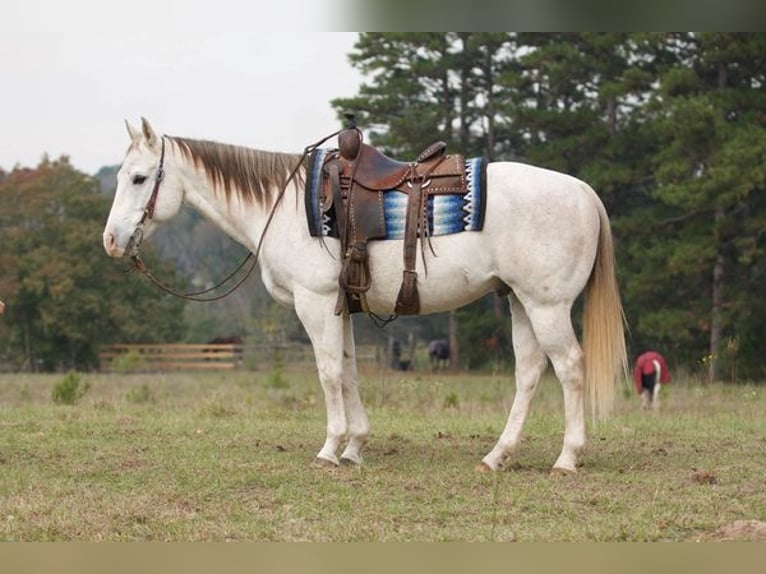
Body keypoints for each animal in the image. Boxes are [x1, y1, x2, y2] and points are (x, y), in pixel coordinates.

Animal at [103, 118, 632, 476]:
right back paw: (496, 456)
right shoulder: (342, 307)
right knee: (529, 372)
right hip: (520, 302)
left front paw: (329, 449)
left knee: (569, 368)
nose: (110, 240)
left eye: (138, 178)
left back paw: (567, 458)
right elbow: (350, 370)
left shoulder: (315, 303)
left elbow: (328, 372)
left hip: (547, 306)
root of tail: (584, 191)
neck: (287, 205)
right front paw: (355, 447)